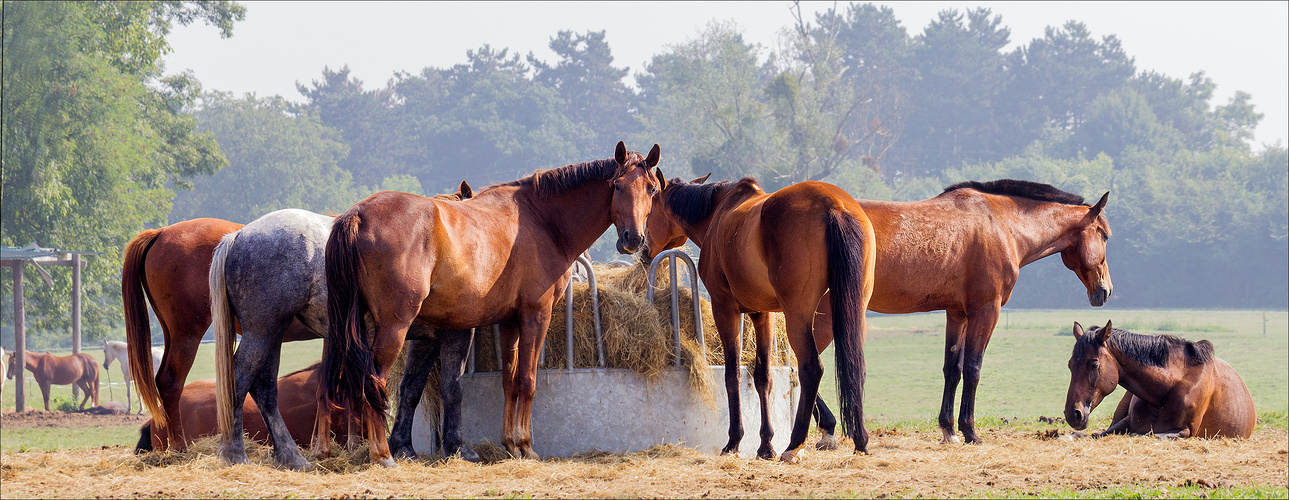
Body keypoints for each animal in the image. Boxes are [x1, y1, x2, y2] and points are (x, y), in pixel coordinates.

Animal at [318, 139, 665, 463]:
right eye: (617, 185)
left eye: (651, 188)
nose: (633, 239)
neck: (542, 221)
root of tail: (358, 214)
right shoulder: (536, 314)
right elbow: (527, 380)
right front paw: (526, 445)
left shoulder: (509, 321)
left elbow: (509, 381)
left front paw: (510, 444)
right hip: (393, 327)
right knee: (373, 380)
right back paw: (382, 454)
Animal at [641, 173, 876, 463]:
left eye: (651, 206)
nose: (641, 246)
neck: (718, 214)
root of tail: (835, 205)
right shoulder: (763, 314)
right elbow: (763, 376)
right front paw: (765, 445)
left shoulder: (725, 309)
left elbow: (732, 375)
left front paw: (734, 441)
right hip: (854, 309)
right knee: (855, 366)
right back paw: (860, 441)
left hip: (797, 314)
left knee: (811, 368)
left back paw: (794, 445)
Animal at [1062, 322, 1252, 440]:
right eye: (1070, 365)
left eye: (1094, 364)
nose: (1073, 414)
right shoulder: (1125, 422)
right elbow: (1099, 433)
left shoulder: (1185, 430)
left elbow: (1148, 435)